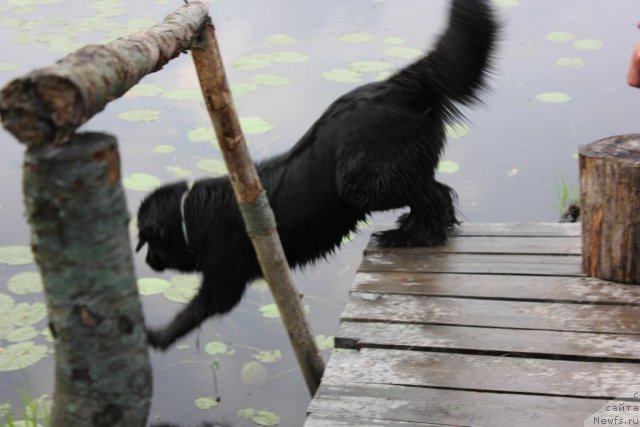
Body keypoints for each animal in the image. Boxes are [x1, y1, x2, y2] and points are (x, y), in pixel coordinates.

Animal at [136, 0, 500, 350]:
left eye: (148, 242)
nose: (150, 263)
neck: (191, 214)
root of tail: (395, 85)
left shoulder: (223, 278)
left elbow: (194, 311)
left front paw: (155, 336)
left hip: (361, 184)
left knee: (431, 193)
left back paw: (415, 235)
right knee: (434, 189)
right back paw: (413, 228)